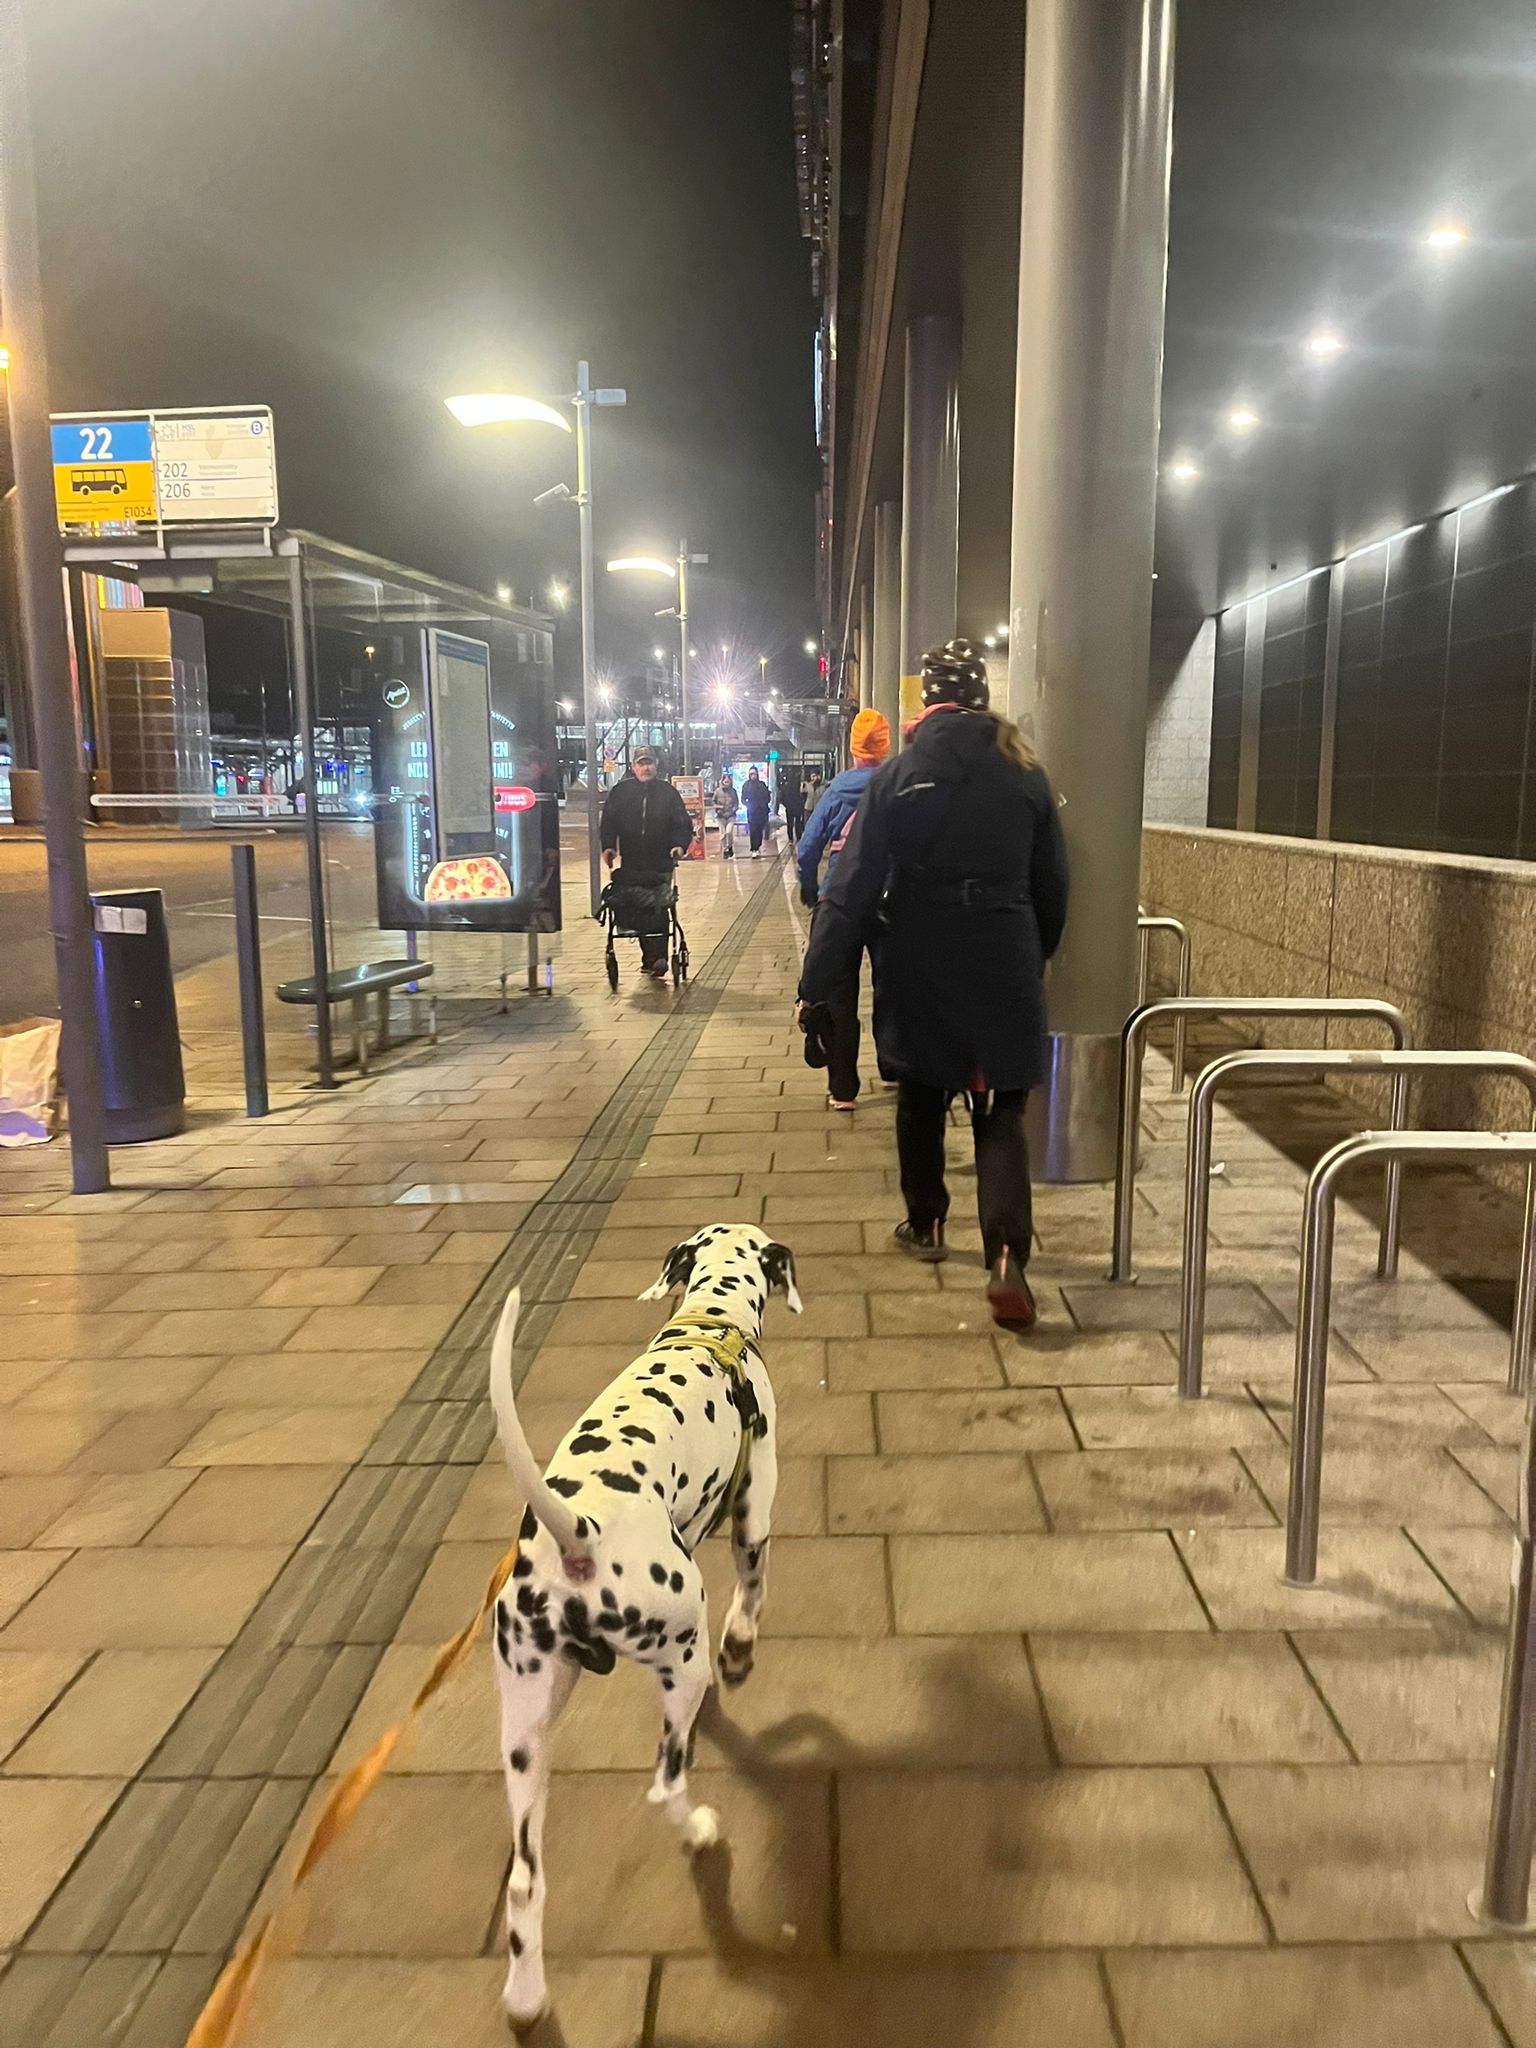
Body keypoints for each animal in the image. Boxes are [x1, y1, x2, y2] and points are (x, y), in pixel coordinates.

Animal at [485, 1223, 800, 2029]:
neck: (709, 1324)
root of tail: (579, 1536)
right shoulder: (754, 1511)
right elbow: (752, 1597)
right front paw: (741, 1652)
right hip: (674, 1658)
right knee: (666, 1782)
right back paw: (699, 1828)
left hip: (526, 1733)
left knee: (524, 1883)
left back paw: (527, 1998)